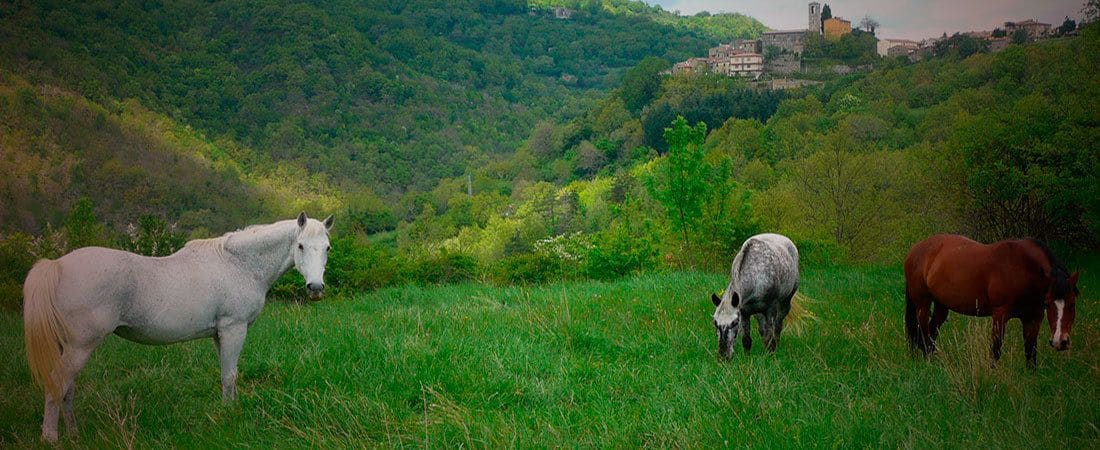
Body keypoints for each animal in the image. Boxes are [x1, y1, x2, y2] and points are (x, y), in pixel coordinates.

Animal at [23, 212, 333, 443]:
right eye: (301, 246)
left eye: (327, 248)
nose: (315, 288)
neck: (239, 264)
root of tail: (57, 266)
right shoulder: (234, 329)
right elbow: (230, 375)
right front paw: (230, 416)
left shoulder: (220, 334)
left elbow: (227, 374)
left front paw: (230, 409)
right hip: (80, 346)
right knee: (58, 382)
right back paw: (51, 438)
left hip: (68, 347)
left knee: (68, 388)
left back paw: (74, 434)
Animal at [903, 234, 1080, 368]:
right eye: (1048, 304)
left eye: (1072, 303)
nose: (1060, 341)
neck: (1022, 269)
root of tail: (915, 250)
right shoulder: (1000, 315)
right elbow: (996, 349)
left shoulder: (1034, 318)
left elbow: (1031, 352)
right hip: (922, 303)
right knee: (923, 330)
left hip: (941, 305)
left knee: (932, 330)